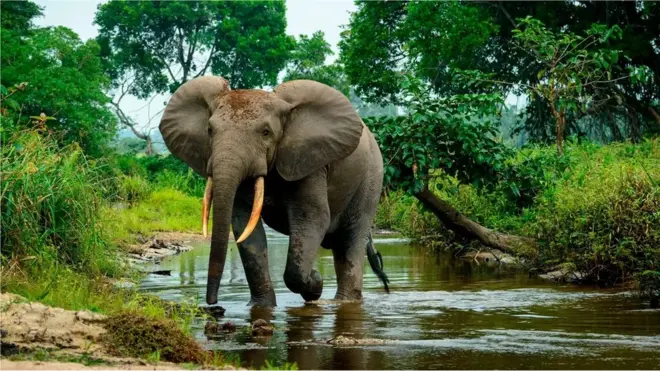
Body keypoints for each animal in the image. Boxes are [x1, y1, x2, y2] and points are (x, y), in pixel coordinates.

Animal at [158, 76, 390, 308]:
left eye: (266, 133)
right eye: (209, 131)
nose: (213, 303)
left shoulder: (309, 162)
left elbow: (312, 217)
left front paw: (315, 284)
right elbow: (245, 225)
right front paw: (261, 306)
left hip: (371, 178)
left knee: (351, 239)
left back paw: (344, 302)